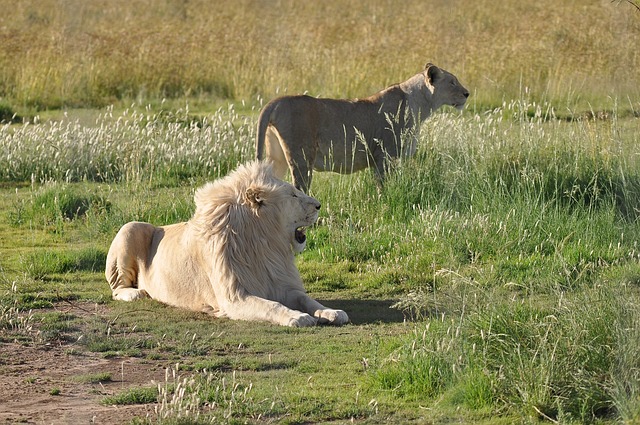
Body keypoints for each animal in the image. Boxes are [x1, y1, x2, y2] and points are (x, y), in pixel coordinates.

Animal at [104, 161, 350, 326]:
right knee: (116, 289)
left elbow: (309, 300)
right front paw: (297, 317)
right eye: (294, 195)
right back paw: (137, 293)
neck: (266, 244)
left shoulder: (282, 285)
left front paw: (332, 312)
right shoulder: (235, 297)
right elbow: (272, 306)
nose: (318, 205)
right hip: (130, 227)